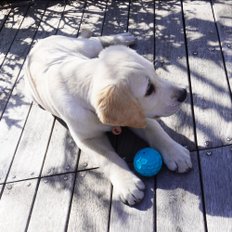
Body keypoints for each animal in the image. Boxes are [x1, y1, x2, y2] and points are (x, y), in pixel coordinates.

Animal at [24, 32, 192, 205]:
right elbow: (107, 157)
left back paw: (123, 38)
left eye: (155, 73)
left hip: (82, 47)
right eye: (149, 90)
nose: (183, 93)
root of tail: (39, 43)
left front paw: (176, 152)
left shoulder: (138, 115)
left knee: (95, 40)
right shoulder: (87, 138)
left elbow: (156, 131)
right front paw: (128, 184)